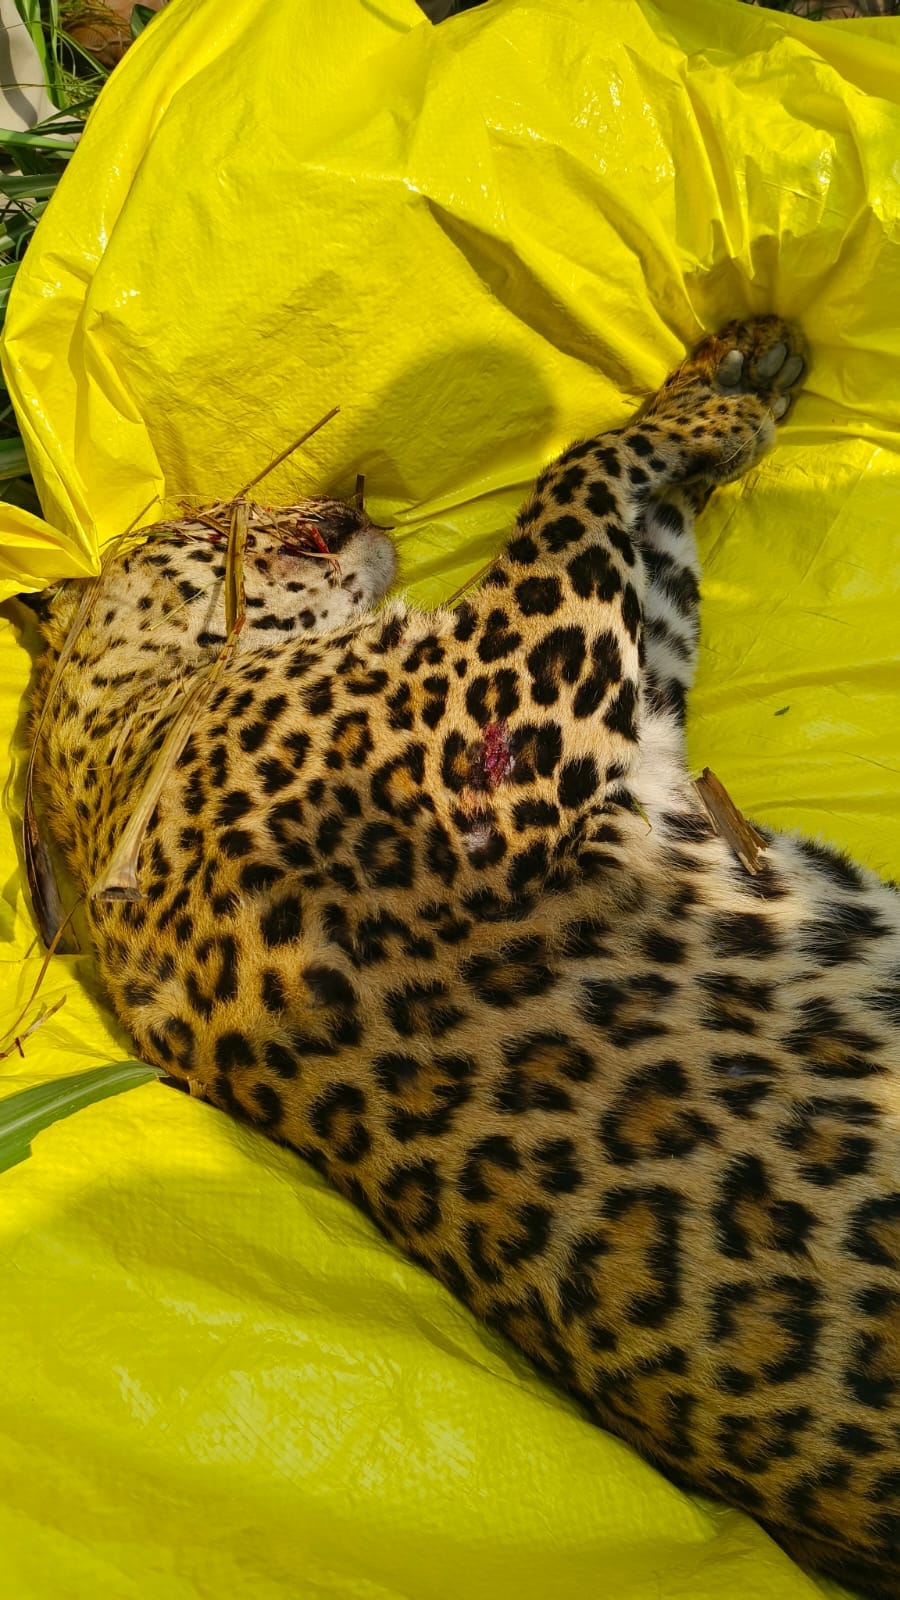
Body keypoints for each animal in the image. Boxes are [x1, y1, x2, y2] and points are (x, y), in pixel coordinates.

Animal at [28, 316, 900, 1598]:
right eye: (213, 514)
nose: (346, 486)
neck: (127, 734)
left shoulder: (632, 703)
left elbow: (649, 533)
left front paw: (729, 371)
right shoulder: (522, 691)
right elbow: (576, 473)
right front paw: (710, 412)